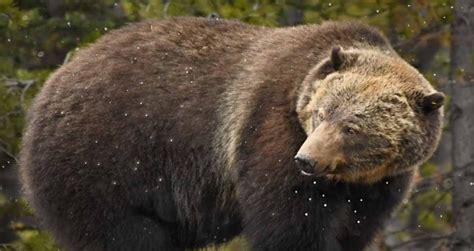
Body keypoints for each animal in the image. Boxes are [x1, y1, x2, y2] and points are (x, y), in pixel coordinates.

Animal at [19, 16, 444, 250]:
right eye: (321, 113)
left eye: (352, 127)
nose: (307, 160)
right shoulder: (269, 129)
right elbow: (289, 219)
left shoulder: (380, 186)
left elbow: (353, 229)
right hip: (105, 158)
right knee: (120, 233)